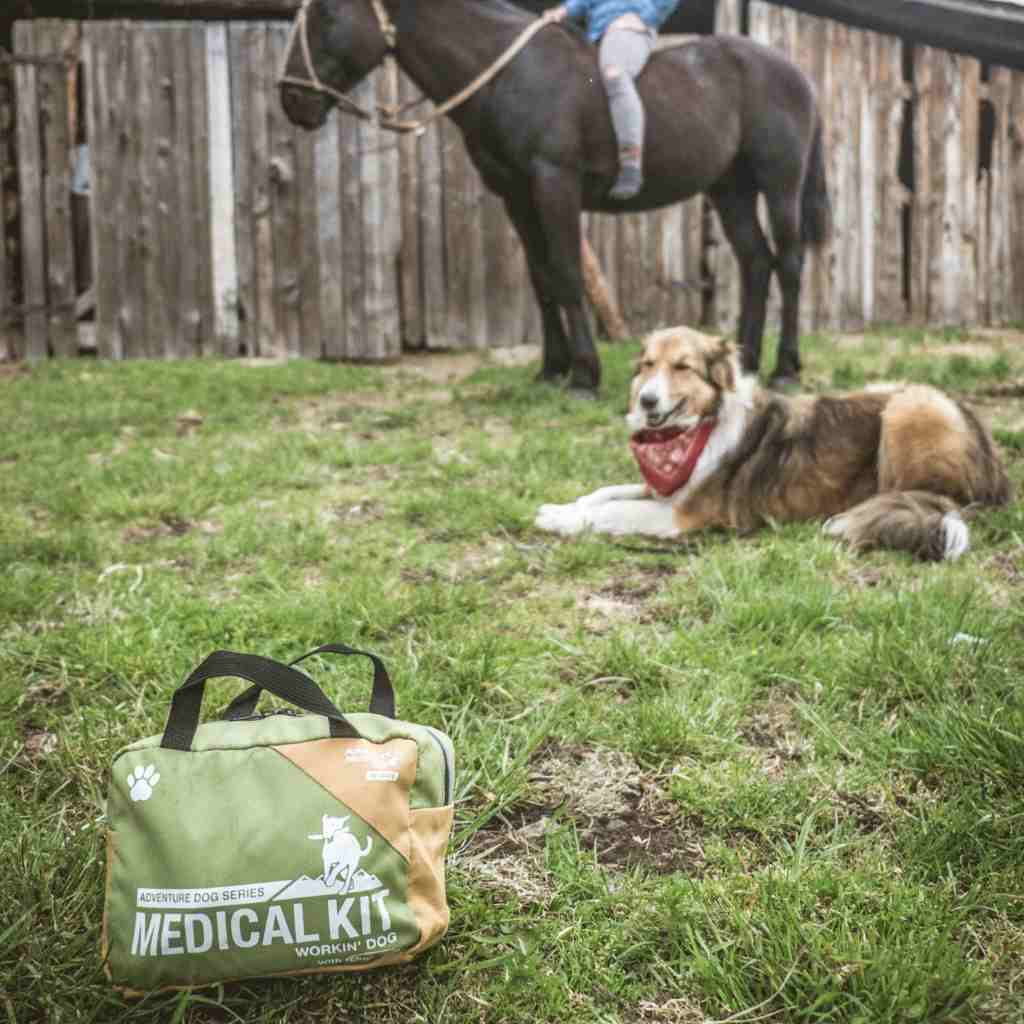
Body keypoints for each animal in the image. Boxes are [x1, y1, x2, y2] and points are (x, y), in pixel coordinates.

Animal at [280, 0, 831, 395]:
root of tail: (797, 74)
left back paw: (784, 369)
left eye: (328, 12)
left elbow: (566, 273)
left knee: (789, 263)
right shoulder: (516, 196)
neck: (510, 75)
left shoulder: (554, 186)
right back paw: (745, 363)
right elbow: (542, 278)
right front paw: (552, 368)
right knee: (756, 262)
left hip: (779, 184)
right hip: (730, 188)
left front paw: (584, 375)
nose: (290, 98)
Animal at [536, 327, 1007, 561]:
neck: (699, 426)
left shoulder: (682, 514)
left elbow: (611, 509)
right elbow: (604, 492)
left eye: (683, 367)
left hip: (911, 405)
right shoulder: (664, 490)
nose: (647, 400)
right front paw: (562, 507)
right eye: (648, 365)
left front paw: (558, 520)